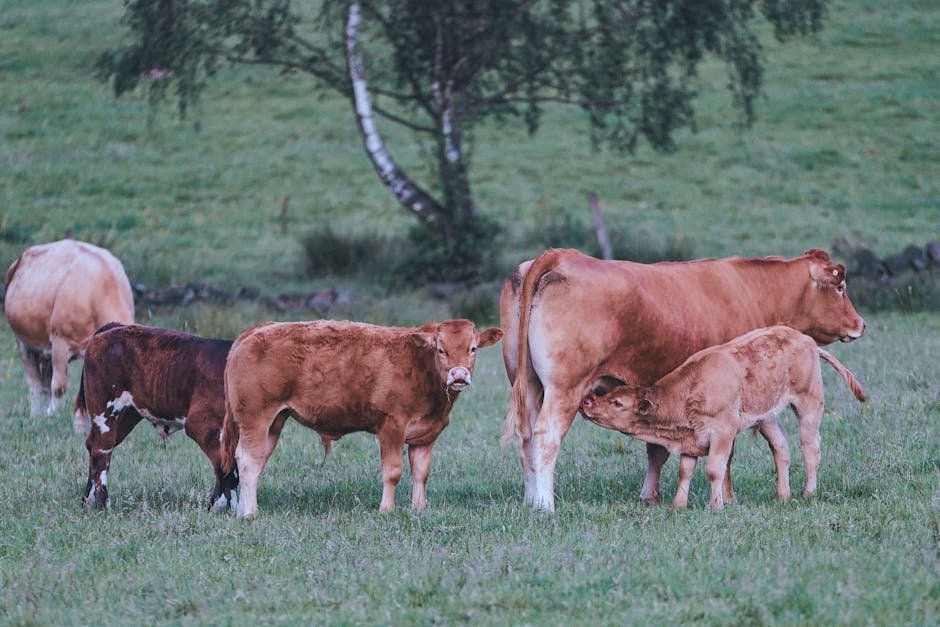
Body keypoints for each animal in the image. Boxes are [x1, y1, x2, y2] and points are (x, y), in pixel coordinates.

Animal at [3, 239, 134, 419]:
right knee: (34, 382)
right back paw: (36, 414)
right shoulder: (60, 341)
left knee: (45, 380)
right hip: (24, 342)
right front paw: (52, 414)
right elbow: (59, 386)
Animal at [74, 323, 238, 511]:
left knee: (92, 445)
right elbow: (226, 467)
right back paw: (102, 503)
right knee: (101, 451)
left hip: (127, 415)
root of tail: (116, 326)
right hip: (106, 413)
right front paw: (227, 507)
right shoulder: (202, 424)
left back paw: (88, 500)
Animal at [220, 318, 502, 517]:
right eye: (441, 350)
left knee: (257, 461)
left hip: (274, 423)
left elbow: (421, 473)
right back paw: (250, 513)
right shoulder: (392, 426)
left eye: (473, 348)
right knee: (246, 459)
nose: (459, 375)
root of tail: (254, 332)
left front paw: (419, 507)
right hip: (255, 418)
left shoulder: (426, 435)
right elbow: (392, 471)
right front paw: (386, 509)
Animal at [580, 326, 867, 509]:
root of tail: (804, 337)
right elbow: (685, 471)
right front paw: (678, 505)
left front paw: (715, 505)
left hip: (809, 403)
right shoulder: (691, 438)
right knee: (781, 448)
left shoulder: (723, 433)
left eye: (618, 402)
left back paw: (808, 492)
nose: (586, 402)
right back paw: (783, 495)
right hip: (767, 418)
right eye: (610, 394)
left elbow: (714, 469)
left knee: (810, 447)